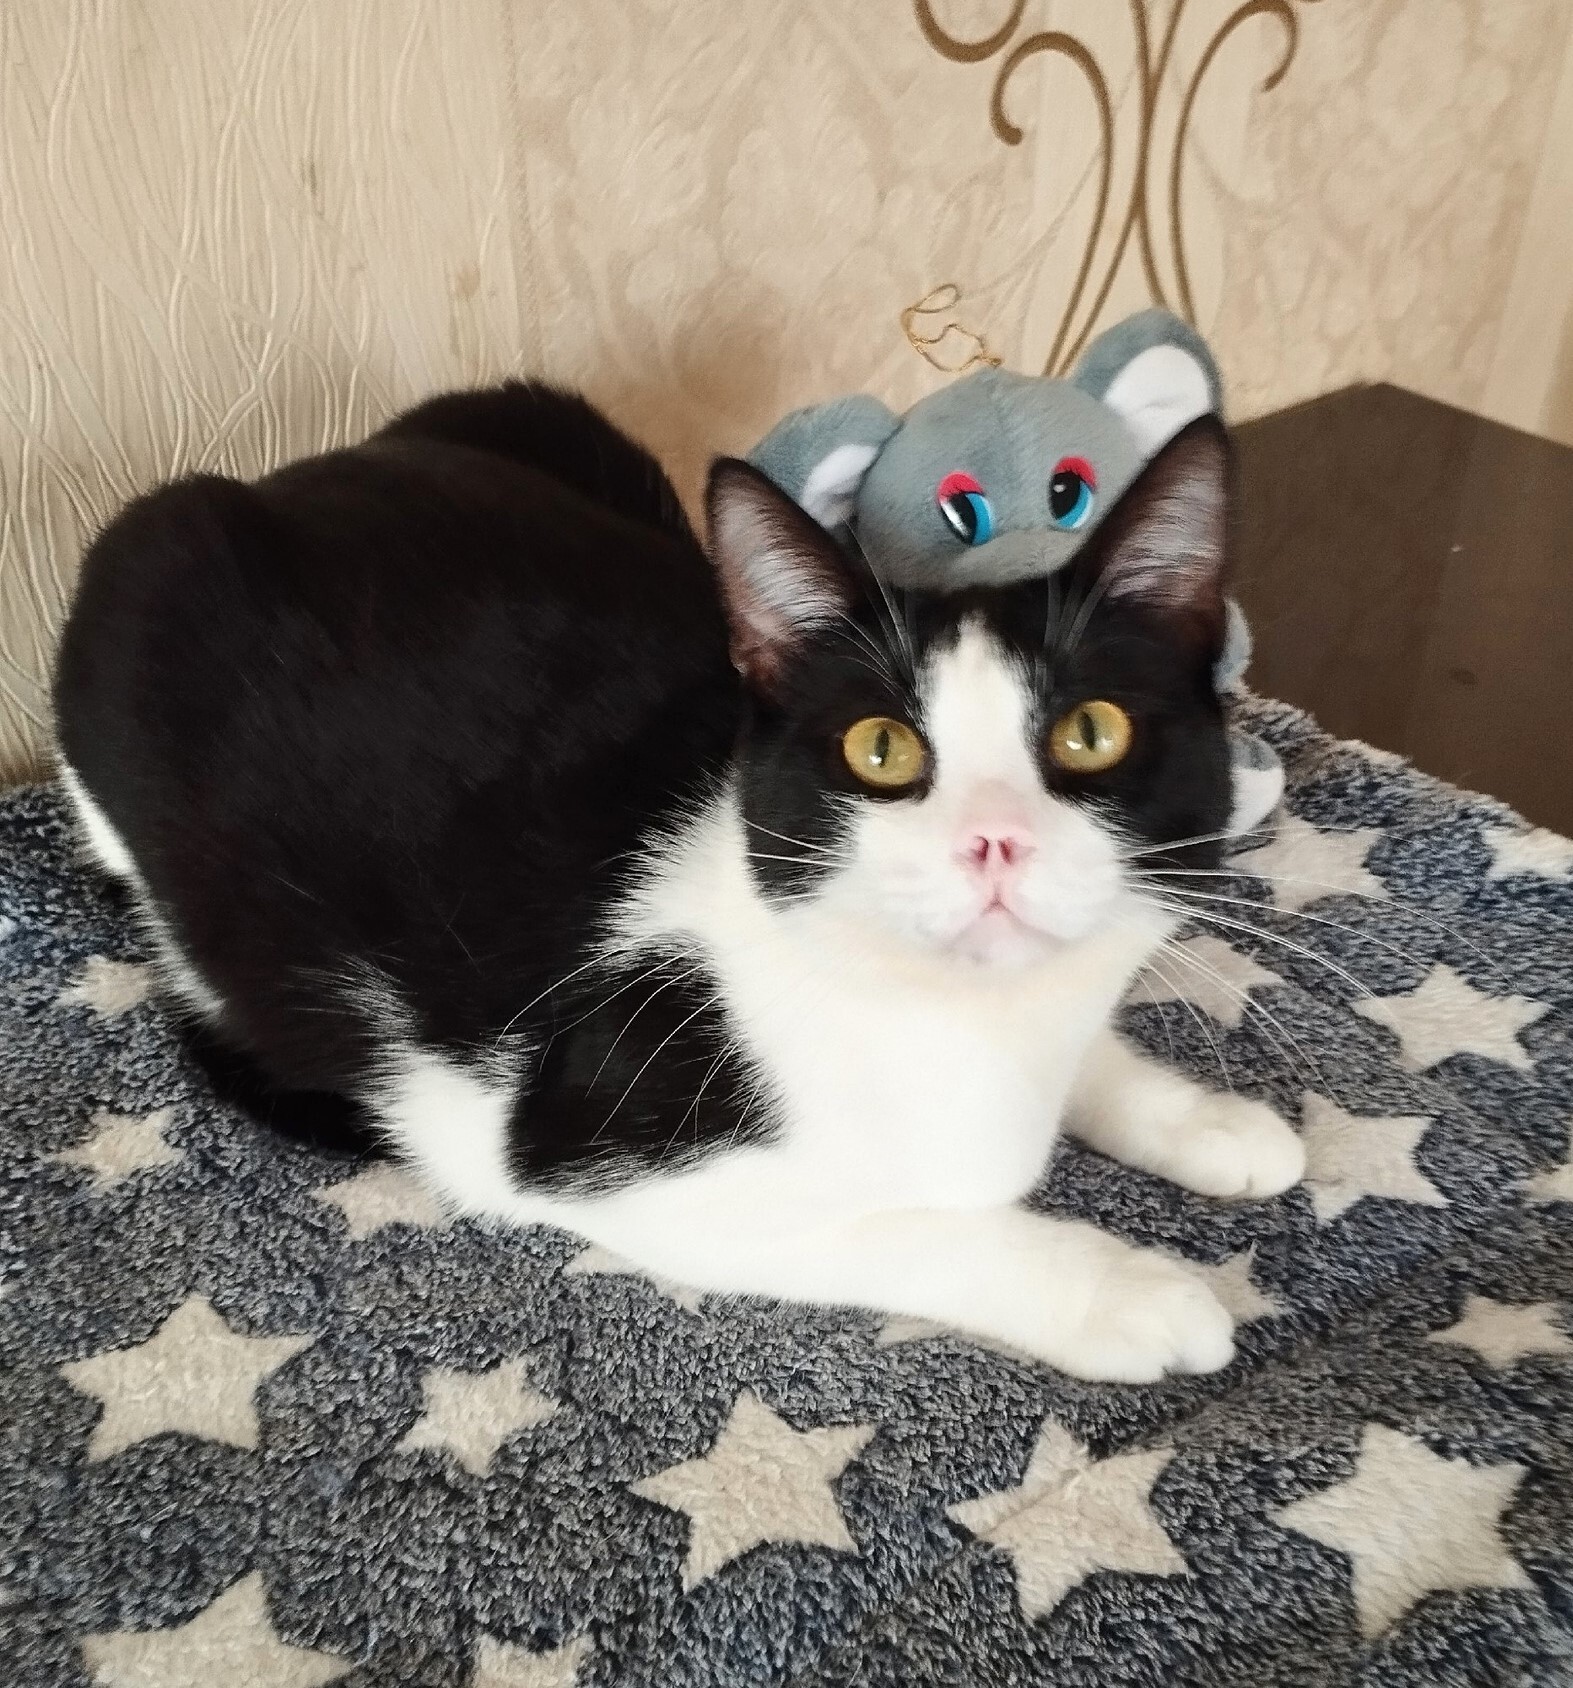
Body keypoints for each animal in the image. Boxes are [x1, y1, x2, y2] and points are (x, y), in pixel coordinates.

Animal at [52, 382, 1304, 1383]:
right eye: (880, 748)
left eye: (1091, 732)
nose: (993, 841)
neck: (969, 1025)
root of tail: (300, 470)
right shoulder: (588, 1154)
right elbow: (909, 1226)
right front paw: (1128, 1290)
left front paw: (1205, 1117)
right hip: (140, 573)